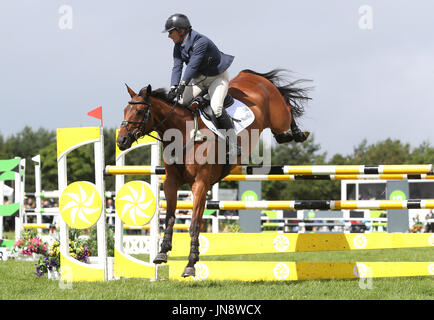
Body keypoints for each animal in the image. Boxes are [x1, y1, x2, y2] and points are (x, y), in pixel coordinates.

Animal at [117, 68, 310, 278]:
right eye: (125, 111)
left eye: (140, 111)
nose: (121, 141)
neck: (184, 134)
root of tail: (253, 76)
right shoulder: (171, 182)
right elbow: (169, 217)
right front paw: (162, 253)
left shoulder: (200, 184)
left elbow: (194, 224)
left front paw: (191, 263)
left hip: (278, 118)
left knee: (287, 109)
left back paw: (297, 133)